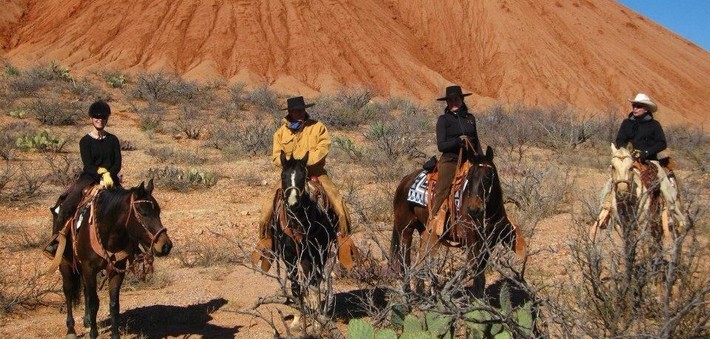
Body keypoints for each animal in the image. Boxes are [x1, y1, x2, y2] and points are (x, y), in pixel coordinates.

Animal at [55, 179, 172, 338]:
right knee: (68, 290)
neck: (108, 233)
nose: (166, 246)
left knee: (85, 290)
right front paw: (93, 334)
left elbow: (114, 304)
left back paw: (87, 321)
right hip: (65, 263)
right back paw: (71, 329)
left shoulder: (117, 269)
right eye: (143, 213)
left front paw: (114, 334)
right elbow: (94, 302)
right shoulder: (89, 268)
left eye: (158, 212)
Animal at [272, 152, 340, 332]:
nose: (293, 204)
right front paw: (297, 320)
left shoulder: (317, 254)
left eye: (303, 176)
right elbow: (296, 287)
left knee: (315, 281)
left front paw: (316, 322)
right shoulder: (289, 255)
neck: (299, 222)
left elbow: (314, 286)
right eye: (283, 176)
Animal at [392, 147, 524, 296]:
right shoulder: (472, 240)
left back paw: (420, 292)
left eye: (488, 177)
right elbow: (477, 272)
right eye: (469, 178)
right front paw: (476, 299)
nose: (473, 209)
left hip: (424, 230)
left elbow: (481, 273)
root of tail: (405, 180)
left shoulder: (489, 244)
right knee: (405, 260)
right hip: (405, 229)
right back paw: (408, 294)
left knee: (422, 259)